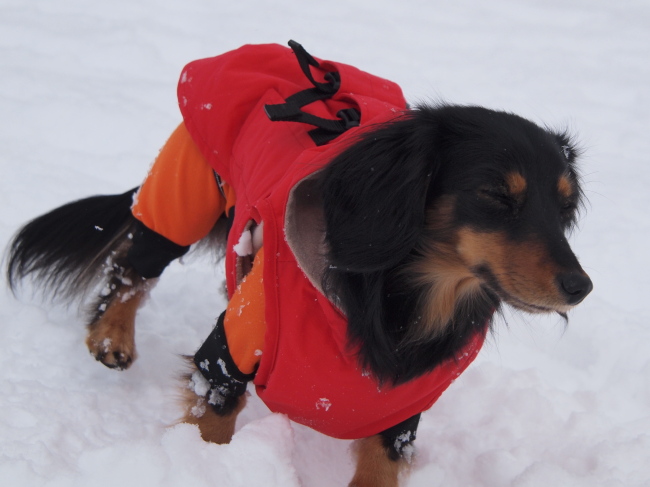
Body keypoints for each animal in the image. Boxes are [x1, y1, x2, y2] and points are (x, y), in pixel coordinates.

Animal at [6, 42, 592, 487]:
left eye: (566, 207)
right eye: (495, 195)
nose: (580, 287)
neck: (401, 301)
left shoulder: (400, 411)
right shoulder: (225, 358)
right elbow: (212, 424)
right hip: (183, 191)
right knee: (132, 266)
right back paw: (111, 336)